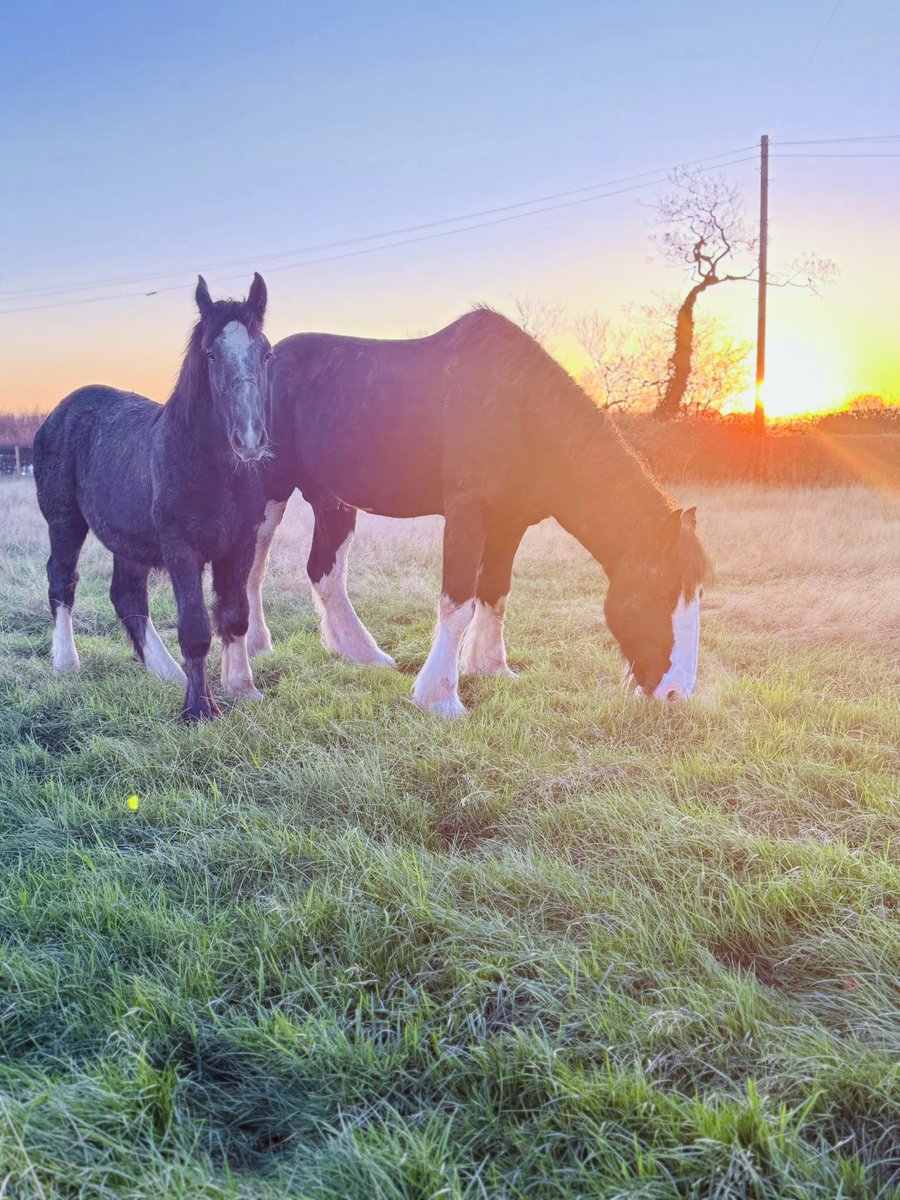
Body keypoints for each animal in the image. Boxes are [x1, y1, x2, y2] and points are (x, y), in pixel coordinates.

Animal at [33, 274, 272, 722]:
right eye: (211, 354)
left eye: (265, 353)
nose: (249, 439)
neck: (213, 468)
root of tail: (59, 412)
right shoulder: (182, 548)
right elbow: (195, 626)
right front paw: (199, 710)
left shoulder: (240, 543)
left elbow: (235, 615)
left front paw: (241, 689)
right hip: (64, 521)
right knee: (61, 579)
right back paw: (66, 662)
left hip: (129, 539)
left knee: (126, 594)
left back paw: (168, 672)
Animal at [248, 308, 711, 719]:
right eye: (661, 593)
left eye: (699, 593)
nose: (676, 693)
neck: (521, 408)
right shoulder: (467, 513)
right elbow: (458, 604)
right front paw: (440, 698)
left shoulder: (509, 523)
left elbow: (496, 594)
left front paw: (491, 668)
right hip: (269, 492)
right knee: (255, 566)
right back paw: (256, 646)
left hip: (334, 502)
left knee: (325, 573)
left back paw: (362, 654)